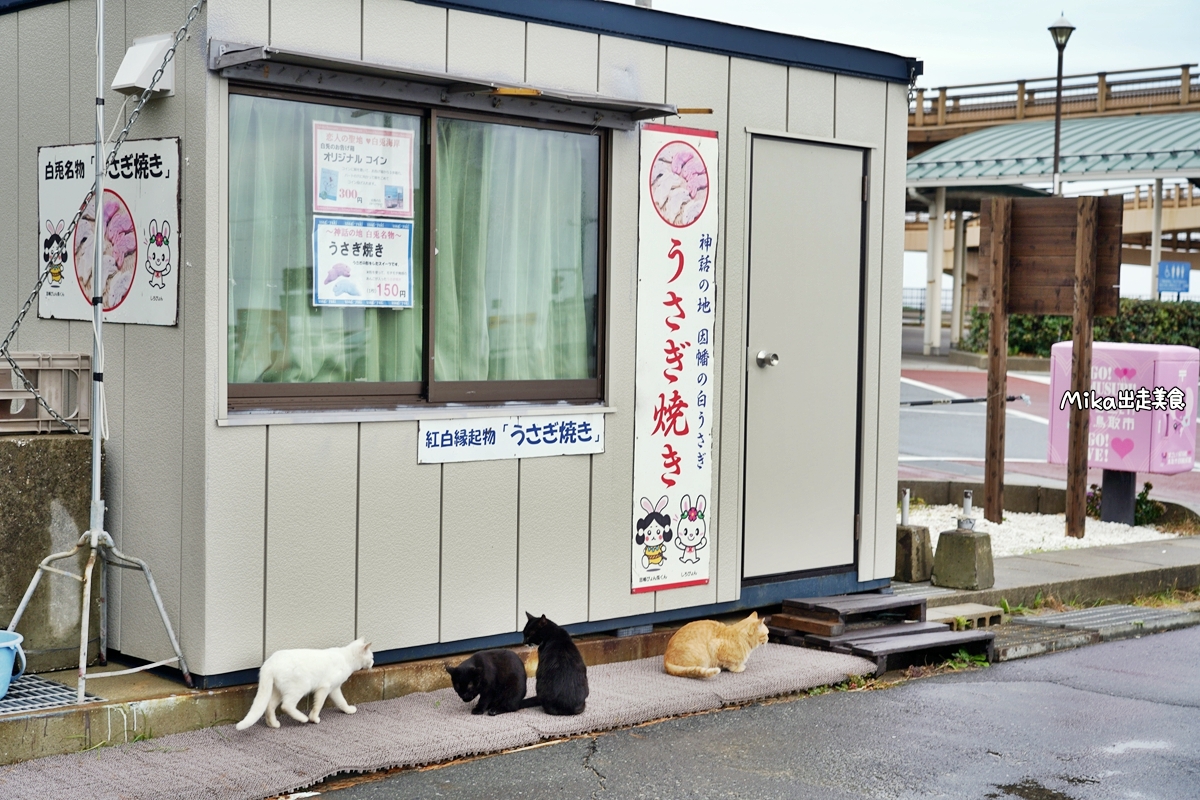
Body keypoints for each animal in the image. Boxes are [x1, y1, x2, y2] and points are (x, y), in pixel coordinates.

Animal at [236, 638, 372, 734]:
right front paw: (313, 718)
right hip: (300, 687)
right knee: (286, 706)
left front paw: (348, 710)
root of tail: (269, 663)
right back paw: (303, 718)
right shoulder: (325, 687)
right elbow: (318, 705)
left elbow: (341, 702)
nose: (373, 662)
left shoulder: (334, 689)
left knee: (269, 706)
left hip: (278, 691)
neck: (347, 657)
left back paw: (273, 724)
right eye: (371, 657)